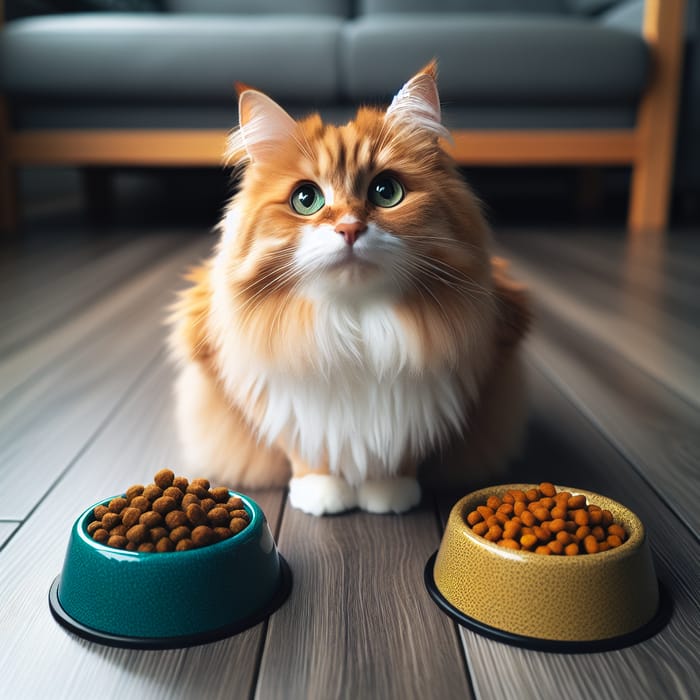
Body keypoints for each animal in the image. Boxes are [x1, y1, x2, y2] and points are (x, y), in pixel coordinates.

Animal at [171, 61, 532, 516]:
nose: (349, 228)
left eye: (386, 191)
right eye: (306, 198)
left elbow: (400, 451)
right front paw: (321, 492)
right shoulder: (286, 405)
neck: (355, 325)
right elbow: (306, 450)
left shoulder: (425, 403)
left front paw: (389, 491)